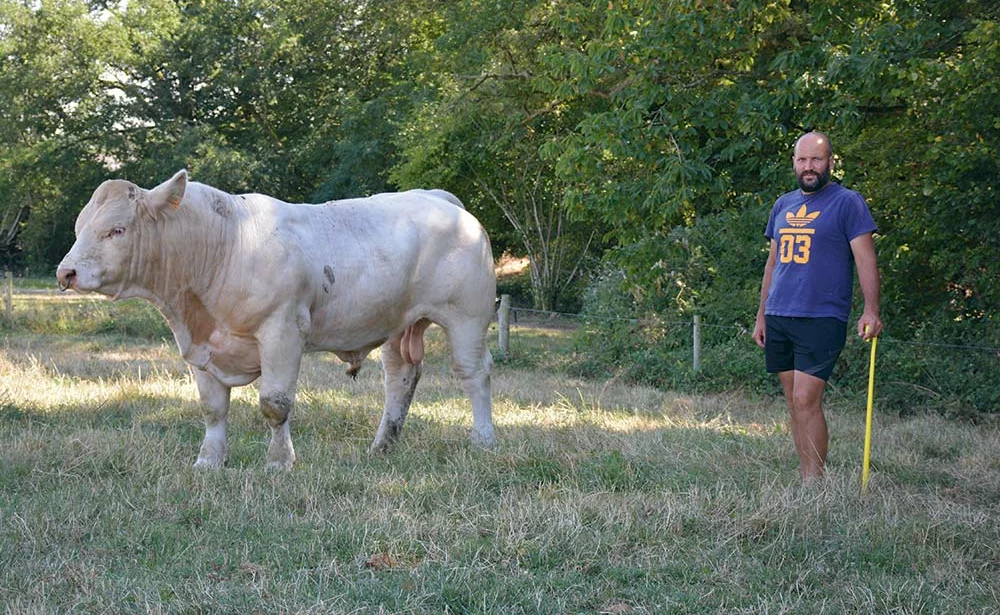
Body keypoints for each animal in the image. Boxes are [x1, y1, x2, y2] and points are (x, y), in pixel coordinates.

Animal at [55, 171, 496, 470]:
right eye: (78, 227)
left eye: (117, 230)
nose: (66, 272)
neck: (225, 244)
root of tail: (438, 198)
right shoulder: (200, 348)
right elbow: (212, 408)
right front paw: (209, 461)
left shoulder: (282, 331)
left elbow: (275, 404)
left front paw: (279, 461)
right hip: (398, 323)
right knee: (400, 377)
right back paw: (382, 445)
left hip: (468, 316)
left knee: (474, 373)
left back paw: (483, 440)